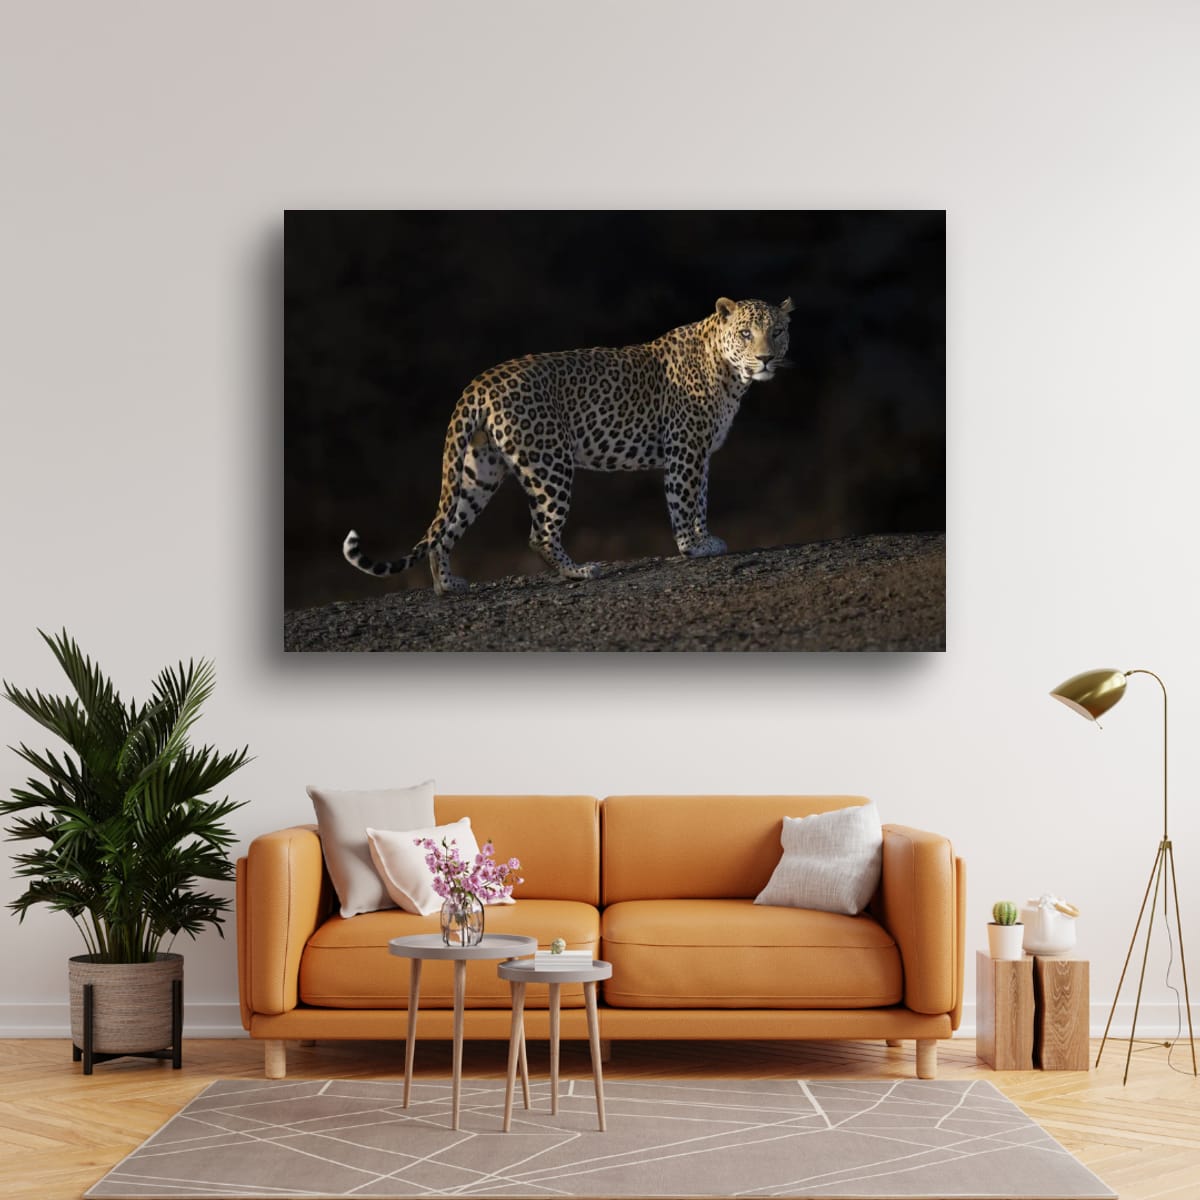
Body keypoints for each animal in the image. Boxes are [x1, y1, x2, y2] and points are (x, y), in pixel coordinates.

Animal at [343, 295, 793, 595]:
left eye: (777, 332)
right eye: (746, 334)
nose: (766, 358)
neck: (731, 374)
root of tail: (480, 382)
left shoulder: (701, 453)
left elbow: (700, 499)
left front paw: (705, 540)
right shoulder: (685, 450)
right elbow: (684, 501)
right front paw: (693, 547)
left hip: (479, 470)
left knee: (445, 527)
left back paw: (446, 585)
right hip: (549, 463)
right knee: (539, 533)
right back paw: (579, 571)